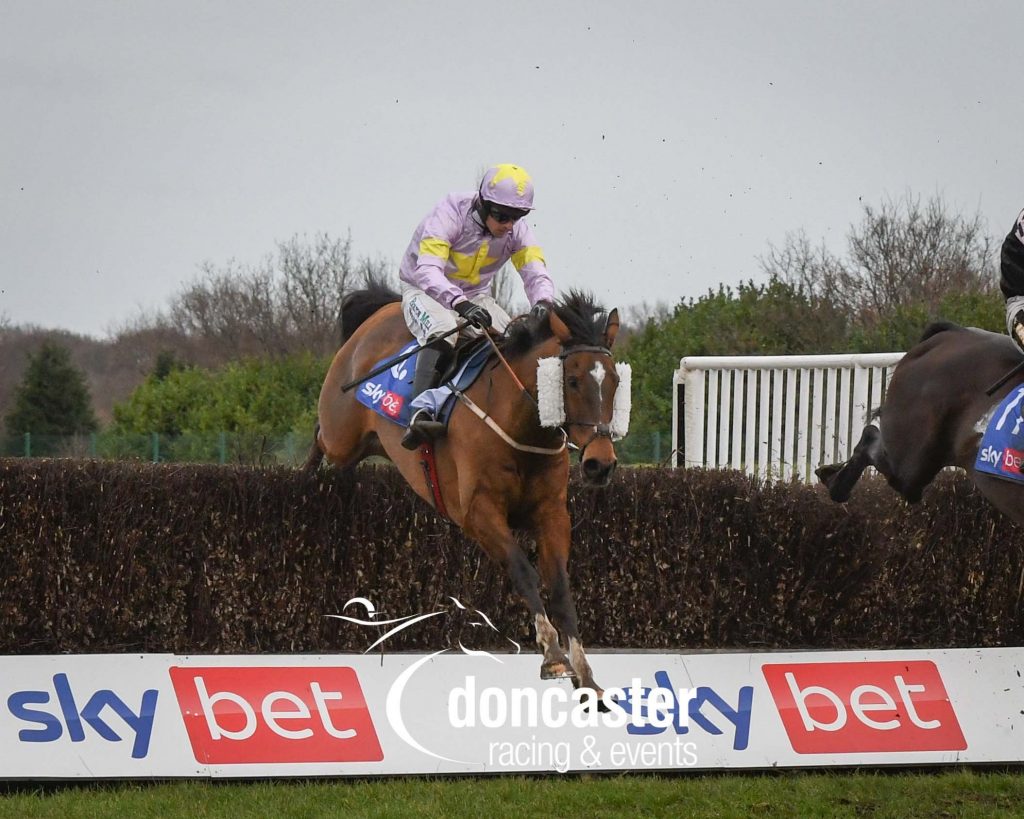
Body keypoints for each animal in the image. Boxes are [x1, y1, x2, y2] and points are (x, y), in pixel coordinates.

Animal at [303, 280, 622, 692]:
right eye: (571, 380)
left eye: (615, 381)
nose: (601, 464)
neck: (519, 425)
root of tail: (383, 308)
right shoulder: (478, 513)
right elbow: (524, 571)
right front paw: (553, 656)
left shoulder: (552, 514)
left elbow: (560, 585)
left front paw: (585, 674)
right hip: (341, 434)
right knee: (321, 437)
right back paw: (307, 476)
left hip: (367, 443)